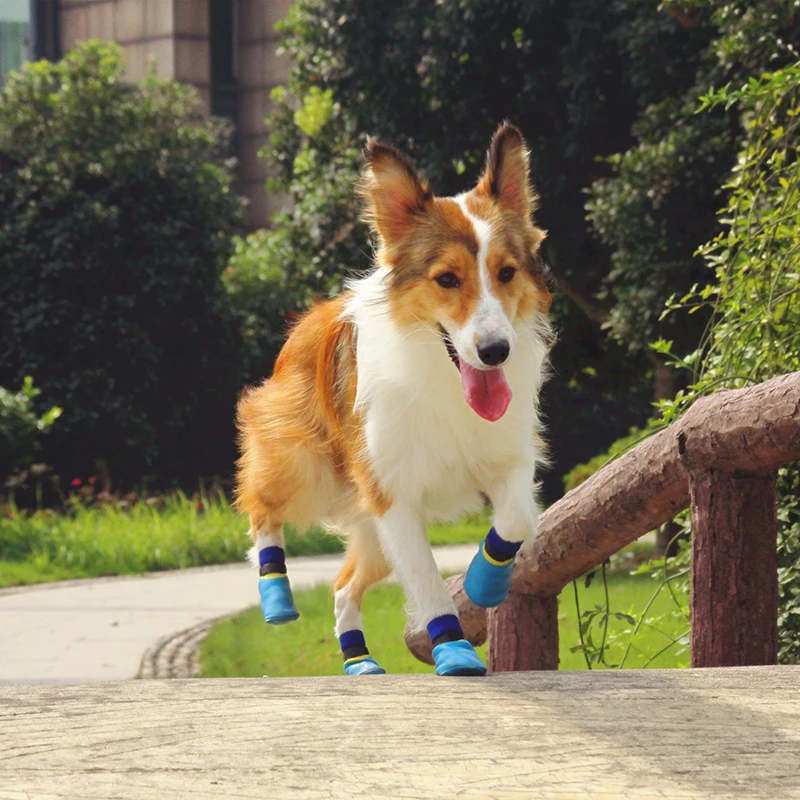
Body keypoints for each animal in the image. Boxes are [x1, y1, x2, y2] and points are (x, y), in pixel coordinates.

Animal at [234, 123, 552, 676]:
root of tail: (303, 325)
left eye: (507, 272)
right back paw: (276, 596)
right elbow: (425, 578)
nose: (496, 351)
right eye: (447, 279)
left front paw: (483, 581)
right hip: (306, 470)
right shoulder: (393, 494)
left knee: (343, 587)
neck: (446, 380)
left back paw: (358, 659)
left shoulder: (509, 455)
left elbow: (516, 519)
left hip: (370, 529)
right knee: (260, 506)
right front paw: (453, 648)